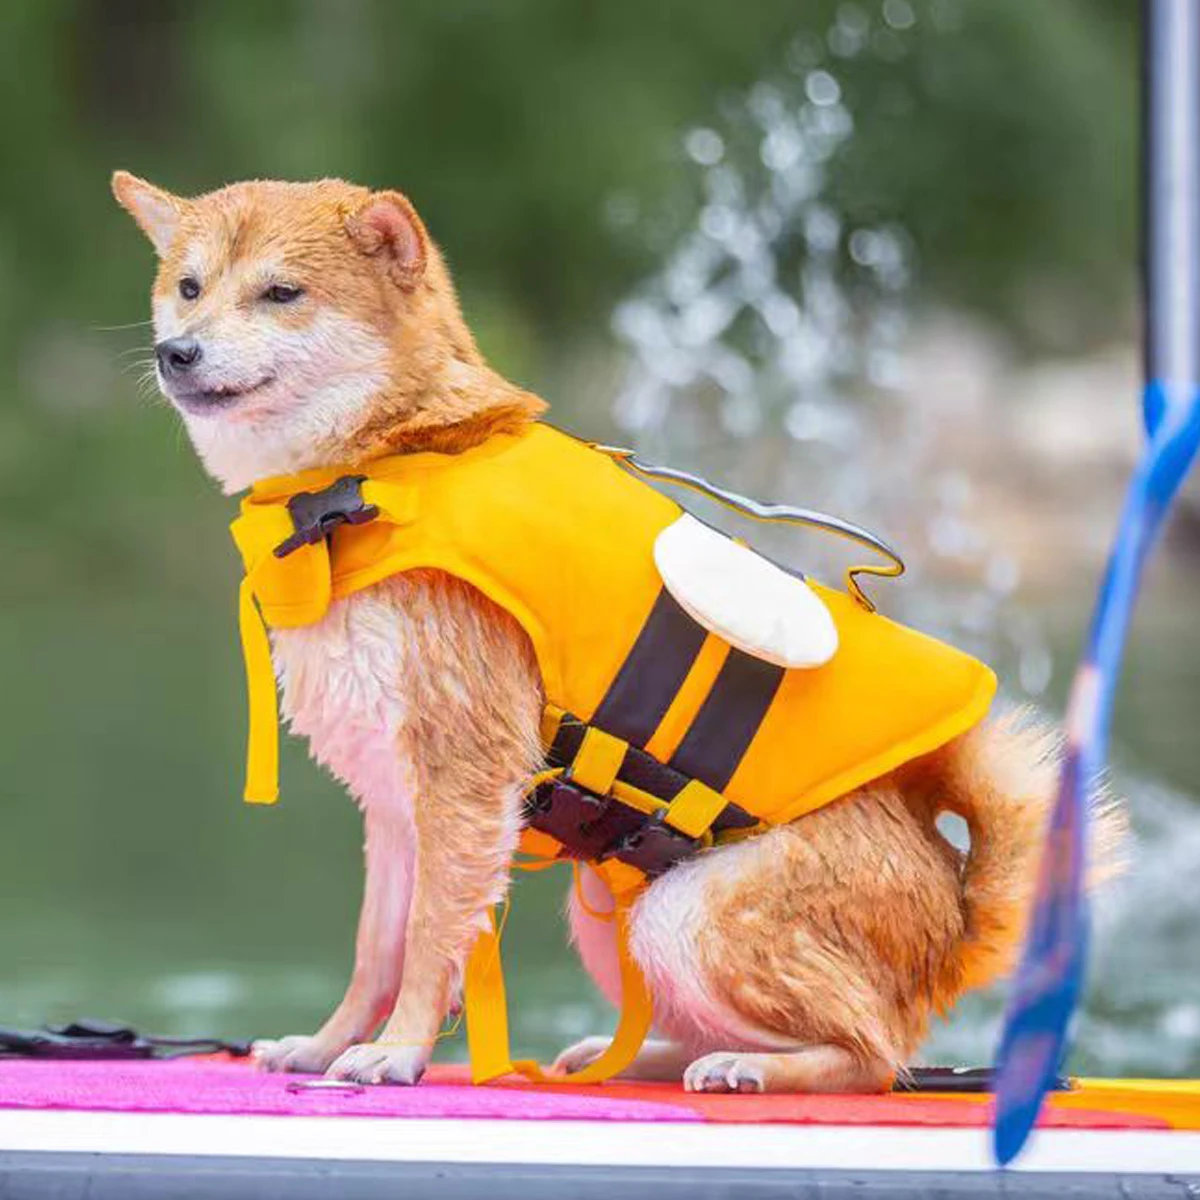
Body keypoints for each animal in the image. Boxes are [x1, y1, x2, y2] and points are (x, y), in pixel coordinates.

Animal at [112, 174, 1123, 1094]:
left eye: (282, 292)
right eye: (190, 286)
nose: (176, 352)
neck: (386, 467)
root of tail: (953, 904)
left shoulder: (464, 774)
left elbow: (433, 936)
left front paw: (394, 1053)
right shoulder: (394, 800)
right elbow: (376, 948)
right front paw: (329, 1045)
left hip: (690, 915)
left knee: (875, 1056)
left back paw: (757, 1070)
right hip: (614, 916)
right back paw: (638, 1057)